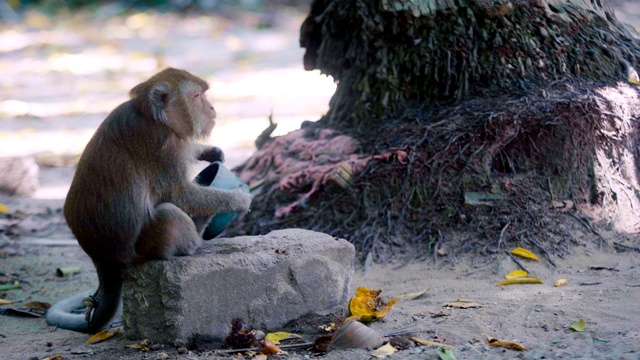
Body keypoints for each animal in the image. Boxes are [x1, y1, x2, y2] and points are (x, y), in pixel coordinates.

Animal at [45, 67, 252, 332]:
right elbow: (180, 195)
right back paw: (196, 237)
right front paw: (239, 198)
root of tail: (103, 261)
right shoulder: (163, 144)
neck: (154, 117)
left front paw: (208, 151)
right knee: (169, 213)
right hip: (141, 249)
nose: (212, 108)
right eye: (197, 96)